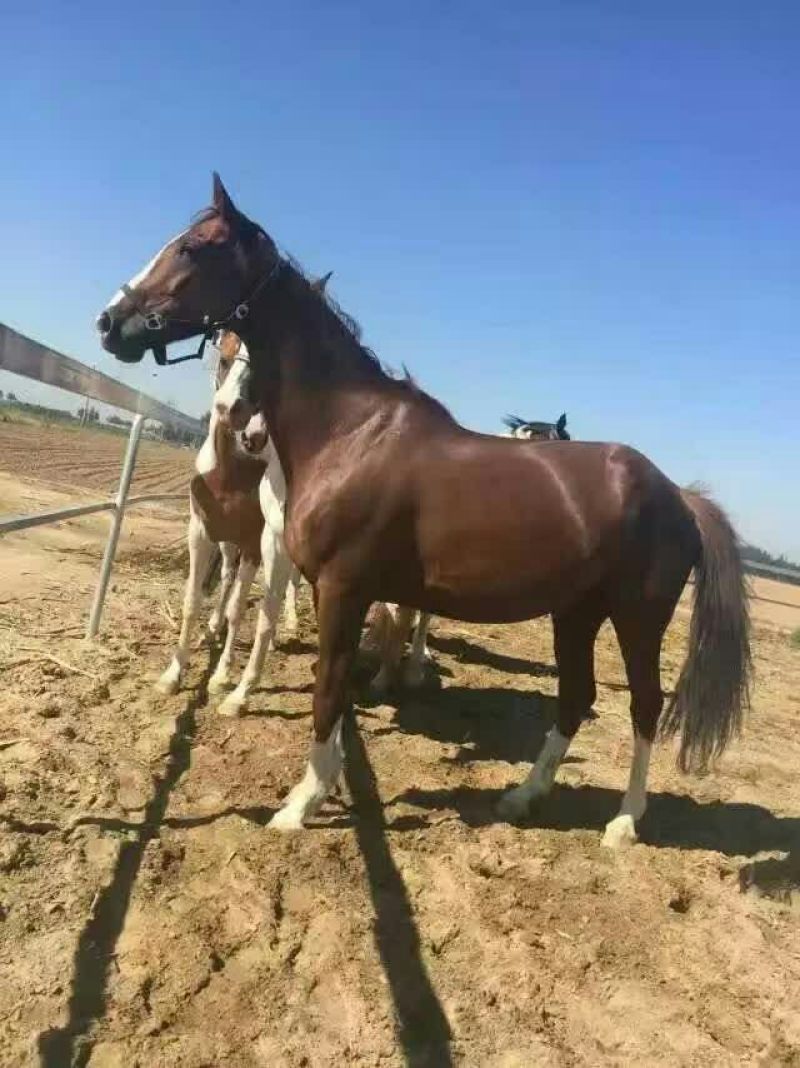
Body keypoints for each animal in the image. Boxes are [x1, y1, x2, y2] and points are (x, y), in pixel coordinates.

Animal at [97, 174, 751, 849]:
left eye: (195, 247)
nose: (110, 323)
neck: (350, 431)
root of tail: (678, 495)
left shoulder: (342, 589)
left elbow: (328, 692)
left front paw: (300, 804)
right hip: (576, 614)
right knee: (576, 698)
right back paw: (524, 797)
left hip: (636, 619)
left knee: (644, 705)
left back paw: (623, 823)